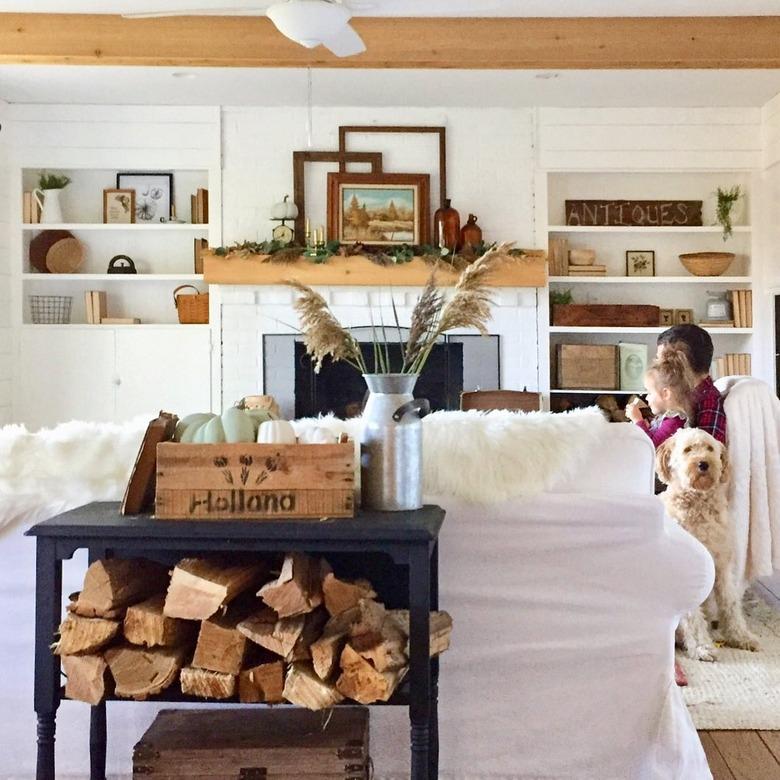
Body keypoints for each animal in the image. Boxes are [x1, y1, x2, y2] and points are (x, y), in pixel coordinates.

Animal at [656, 430, 760, 660]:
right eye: (688, 450)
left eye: (710, 448)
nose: (703, 463)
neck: (698, 503)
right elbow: (693, 616)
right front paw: (702, 647)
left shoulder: (722, 566)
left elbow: (730, 604)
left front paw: (741, 637)